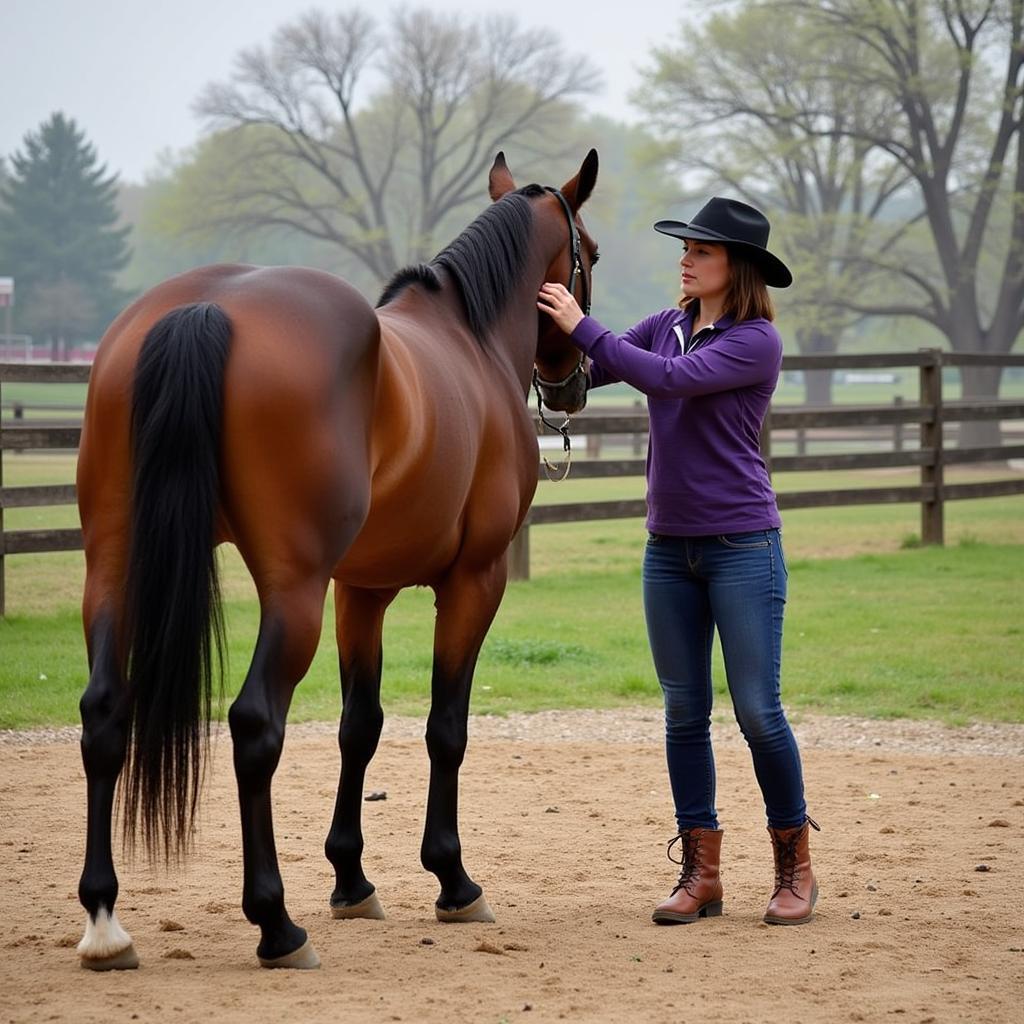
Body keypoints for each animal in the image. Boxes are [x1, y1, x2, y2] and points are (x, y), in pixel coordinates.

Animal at [74, 149, 598, 966]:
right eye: (590, 256)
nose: (573, 385)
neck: (469, 340)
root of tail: (207, 307)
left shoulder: (362, 589)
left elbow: (362, 724)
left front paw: (352, 880)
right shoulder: (473, 582)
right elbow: (445, 728)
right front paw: (453, 880)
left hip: (114, 567)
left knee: (105, 712)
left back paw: (104, 921)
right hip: (292, 592)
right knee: (255, 724)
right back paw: (276, 923)